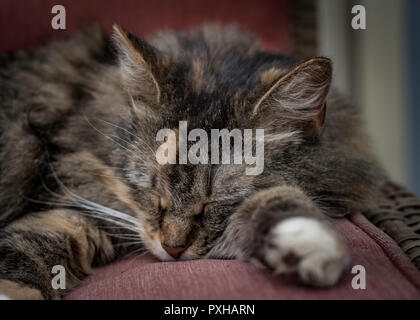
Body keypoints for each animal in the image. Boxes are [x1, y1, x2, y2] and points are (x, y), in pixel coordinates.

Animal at [0, 23, 384, 298]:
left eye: (214, 202)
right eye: (154, 190)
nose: (172, 249)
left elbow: (280, 197)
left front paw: (305, 240)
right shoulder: (78, 204)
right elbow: (28, 246)